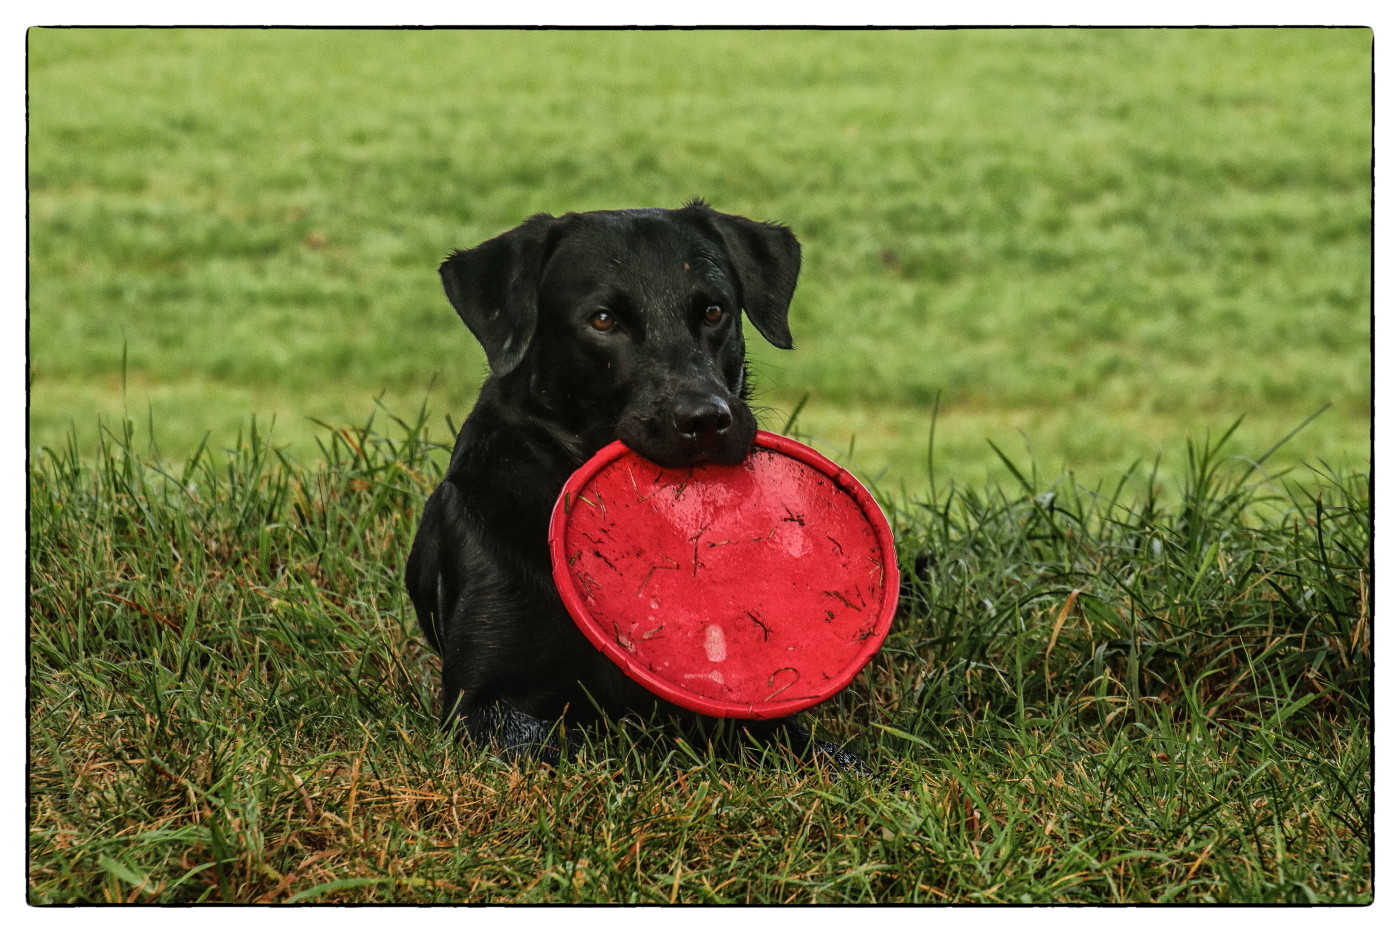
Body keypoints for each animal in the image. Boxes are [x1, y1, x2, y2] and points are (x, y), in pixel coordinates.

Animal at [406, 200, 862, 767]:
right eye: (603, 320)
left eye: (714, 312)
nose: (706, 419)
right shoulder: (477, 705)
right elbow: (572, 744)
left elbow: (817, 749)